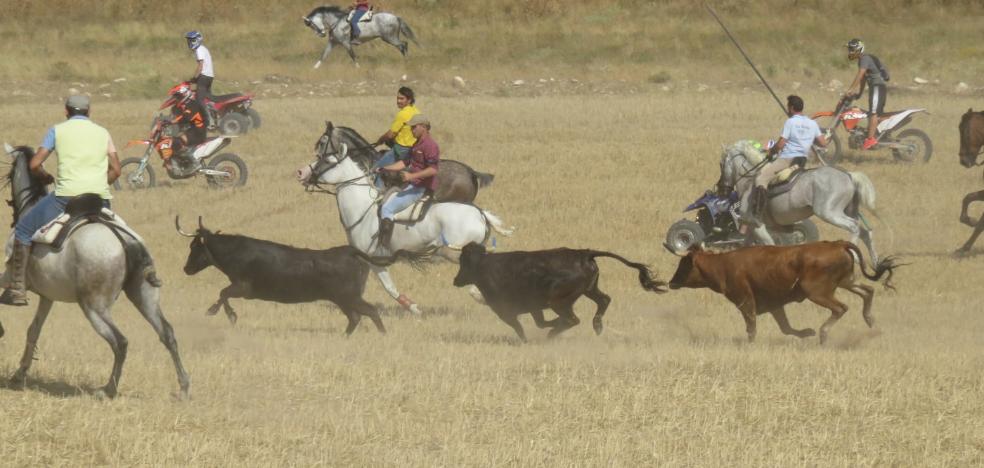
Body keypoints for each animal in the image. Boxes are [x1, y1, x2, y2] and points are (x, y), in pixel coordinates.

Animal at [0, 144, 190, 398]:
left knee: (120, 342)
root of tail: (123, 239)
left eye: (10, 172)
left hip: (94, 307)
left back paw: (108, 389)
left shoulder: (9, 278)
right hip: (144, 295)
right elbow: (34, 331)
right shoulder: (47, 297)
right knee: (167, 333)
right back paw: (184, 387)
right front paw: (19, 374)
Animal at [294, 124, 512, 314]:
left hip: (453, 251)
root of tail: (480, 214)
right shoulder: (368, 260)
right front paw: (412, 307)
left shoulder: (375, 259)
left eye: (327, 158)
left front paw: (413, 308)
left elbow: (388, 287)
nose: (301, 172)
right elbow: (382, 287)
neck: (363, 207)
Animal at [454, 243, 668, 342]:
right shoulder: (534, 307)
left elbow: (520, 328)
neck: (483, 266)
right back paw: (597, 326)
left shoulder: (506, 311)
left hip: (557, 300)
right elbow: (539, 322)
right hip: (589, 289)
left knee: (574, 318)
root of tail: (584, 253)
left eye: (463, 263)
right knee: (604, 300)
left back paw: (553, 334)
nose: (456, 280)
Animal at [668, 241, 900, 344]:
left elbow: (751, 326)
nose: (671, 282)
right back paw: (870, 322)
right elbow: (785, 327)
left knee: (841, 307)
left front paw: (750, 344)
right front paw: (806, 332)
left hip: (816, 291)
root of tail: (837, 244)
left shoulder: (745, 301)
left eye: (683, 264)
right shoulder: (774, 304)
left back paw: (824, 334)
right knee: (867, 291)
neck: (722, 265)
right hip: (846, 281)